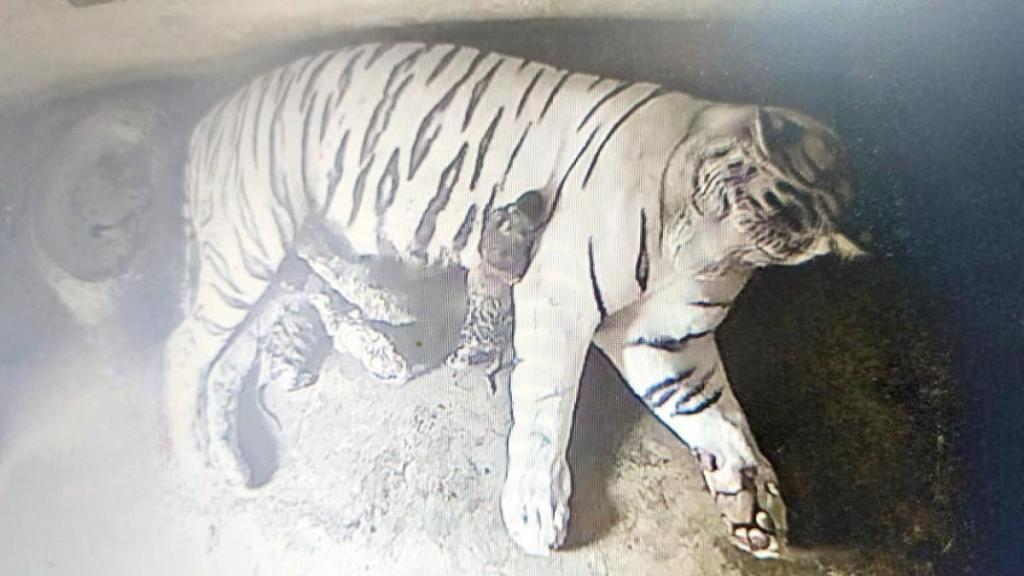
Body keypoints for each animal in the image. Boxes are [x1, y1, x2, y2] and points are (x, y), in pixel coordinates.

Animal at [163, 41, 863, 559]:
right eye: (734, 207)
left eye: (760, 254)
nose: (692, 275)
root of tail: (206, 120)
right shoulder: (561, 294)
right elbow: (548, 407)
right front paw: (535, 509)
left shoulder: (664, 340)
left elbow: (713, 413)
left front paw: (752, 503)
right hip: (251, 247)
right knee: (182, 348)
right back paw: (192, 454)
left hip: (261, 271)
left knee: (228, 359)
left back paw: (230, 463)